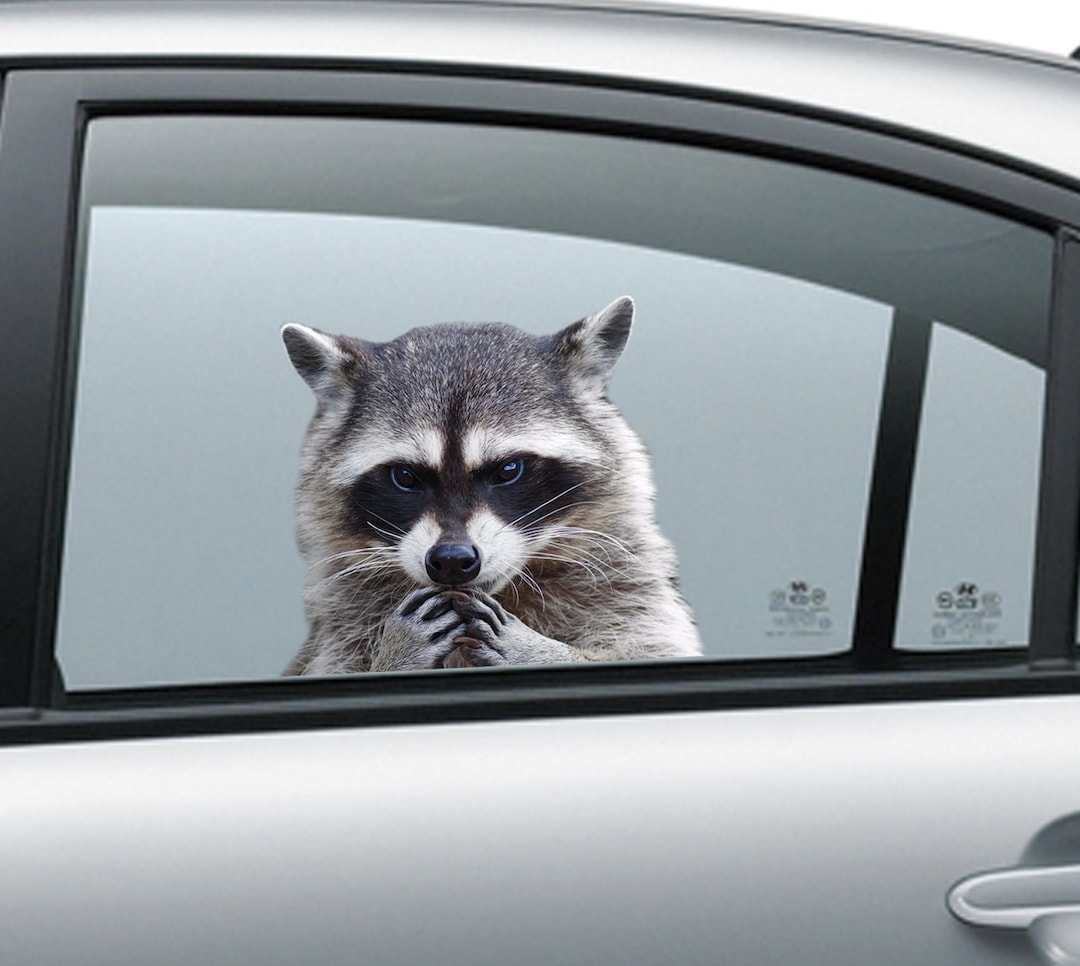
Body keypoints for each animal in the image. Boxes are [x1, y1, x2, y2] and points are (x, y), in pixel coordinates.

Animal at [281, 297, 701, 673]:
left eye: (507, 470)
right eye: (405, 477)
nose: (452, 560)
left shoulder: (627, 583)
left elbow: (651, 647)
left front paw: (541, 652)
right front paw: (396, 653)